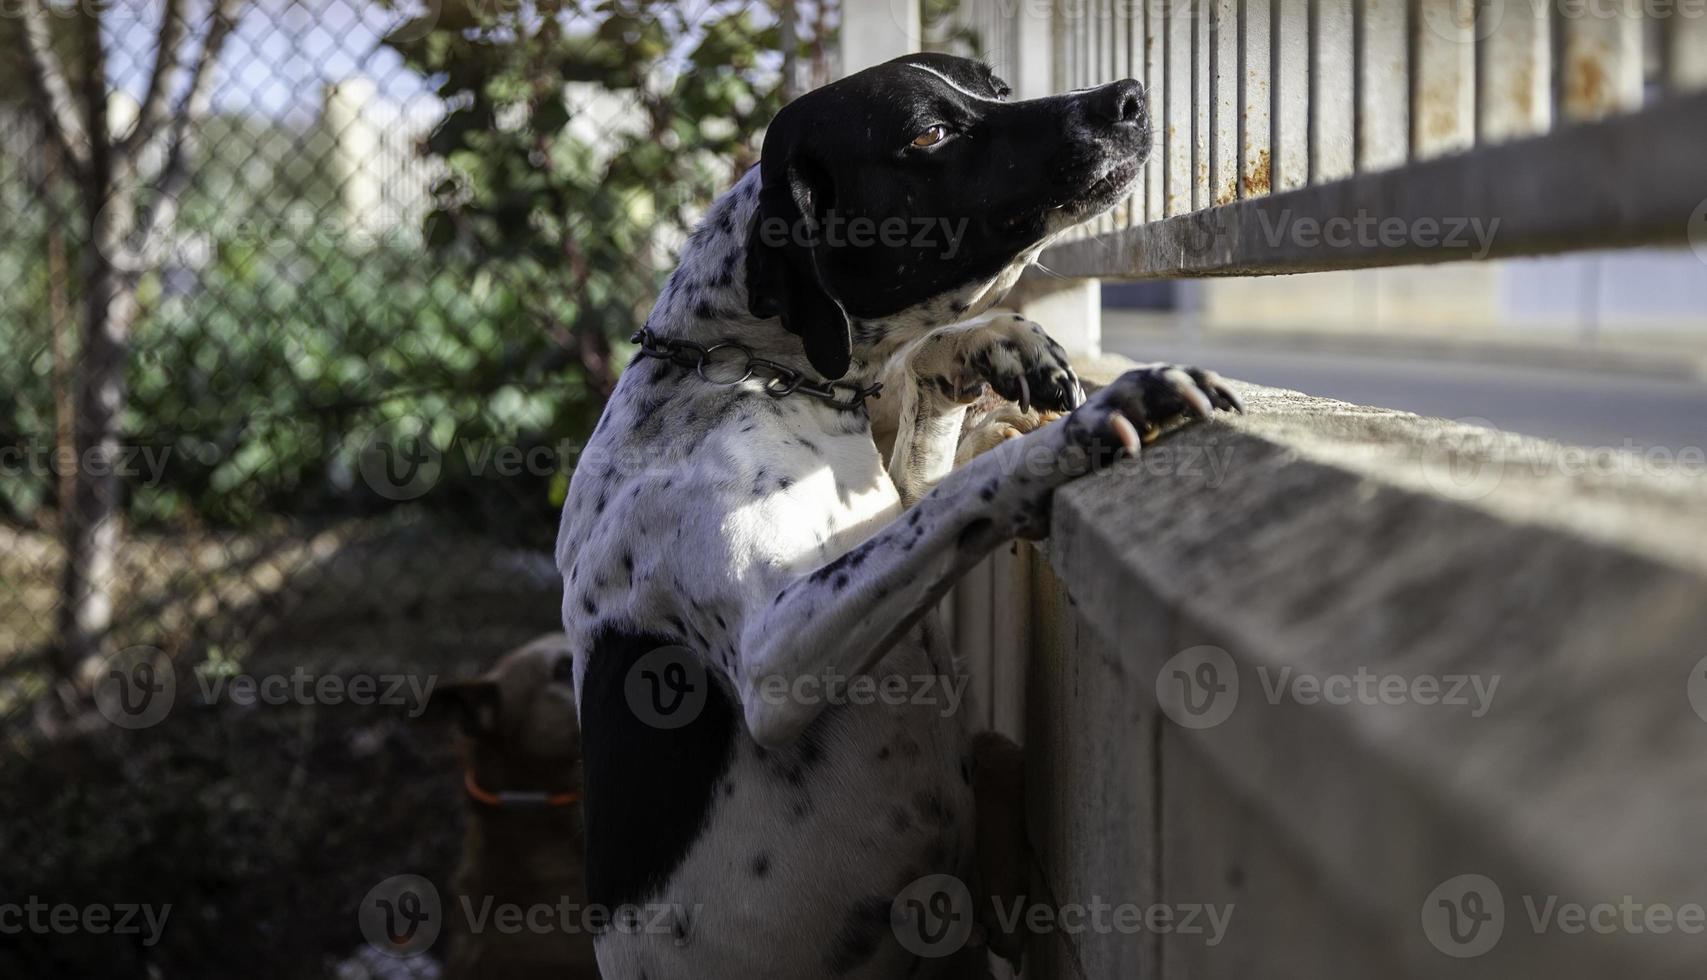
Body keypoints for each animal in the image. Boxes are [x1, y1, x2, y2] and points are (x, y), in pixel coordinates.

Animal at [559, 55, 1242, 980]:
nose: (1128, 99)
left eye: (993, 88)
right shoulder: (776, 660)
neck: (741, 371)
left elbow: (926, 429)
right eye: (928, 135)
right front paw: (1088, 421)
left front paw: (1000, 347)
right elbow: (960, 496)